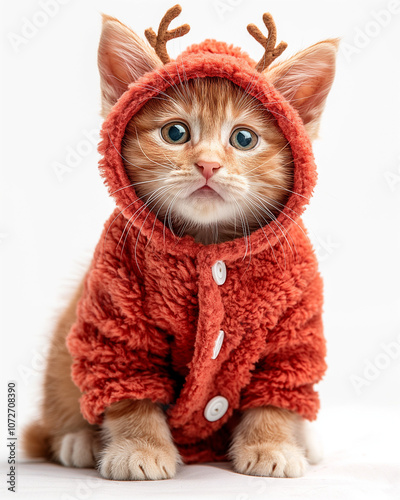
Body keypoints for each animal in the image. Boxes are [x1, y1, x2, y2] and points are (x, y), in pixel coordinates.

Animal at [22, 12, 338, 480]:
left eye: (244, 139)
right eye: (175, 132)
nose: (208, 165)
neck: (208, 246)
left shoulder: (293, 324)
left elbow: (280, 384)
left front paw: (272, 444)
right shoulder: (117, 312)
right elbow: (129, 384)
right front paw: (139, 448)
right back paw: (78, 439)